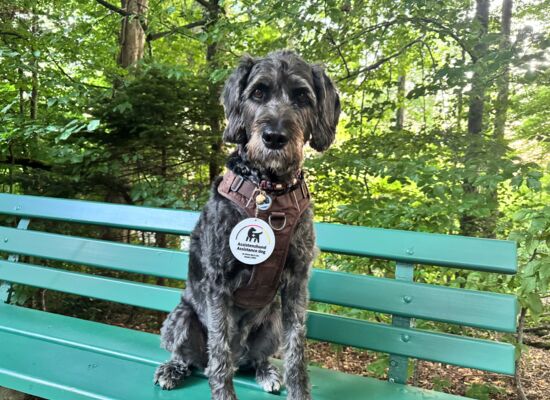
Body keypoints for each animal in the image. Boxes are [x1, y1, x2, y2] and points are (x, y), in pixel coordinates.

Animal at [154, 50, 340, 400]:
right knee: (197, 357)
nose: (274, 137)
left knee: (254, 358)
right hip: (182, 318)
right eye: (258, 93)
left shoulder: (296, 282)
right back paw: (173, 369)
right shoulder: (218, 283)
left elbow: (297, 351)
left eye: (301, 97)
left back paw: (265, 371)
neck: (268, 192)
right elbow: (219, 354)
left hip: (272, 322)